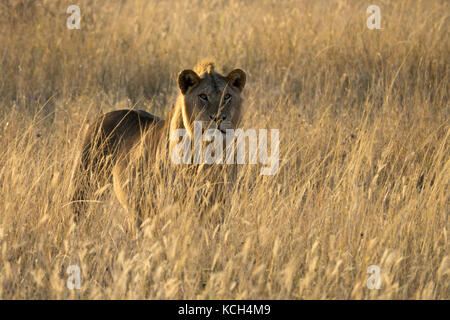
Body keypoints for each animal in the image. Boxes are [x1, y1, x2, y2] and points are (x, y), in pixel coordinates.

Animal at [71, 60, 246, 225]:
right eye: (203, 96)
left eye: (227, 96)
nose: (218, 118)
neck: (208, 150)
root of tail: (100, 117)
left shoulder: (219, 202)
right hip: (84, 188)